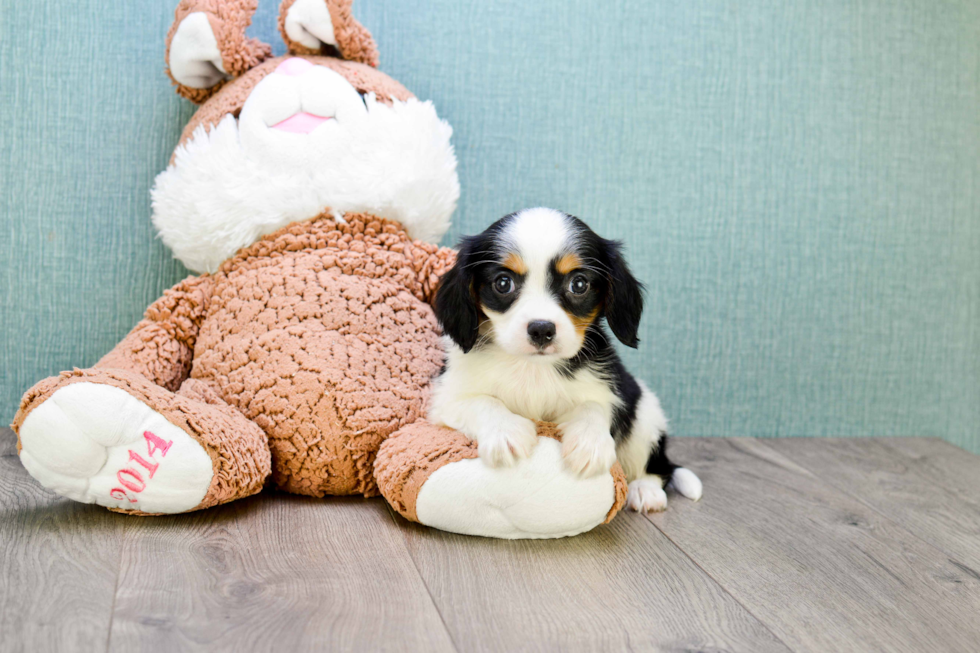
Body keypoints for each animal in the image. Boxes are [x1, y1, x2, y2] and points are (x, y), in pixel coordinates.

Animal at [432, 204, 700, 510]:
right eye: (503, 283)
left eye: (579, 284)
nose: (541, 329)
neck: (533, 367)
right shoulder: (446, 398)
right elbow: (482, 402)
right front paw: (505, 432)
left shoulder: (606, 389)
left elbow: (592, 407)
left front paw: (589, 443)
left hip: (645, 414)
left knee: (657, 467)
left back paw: (645, 489)